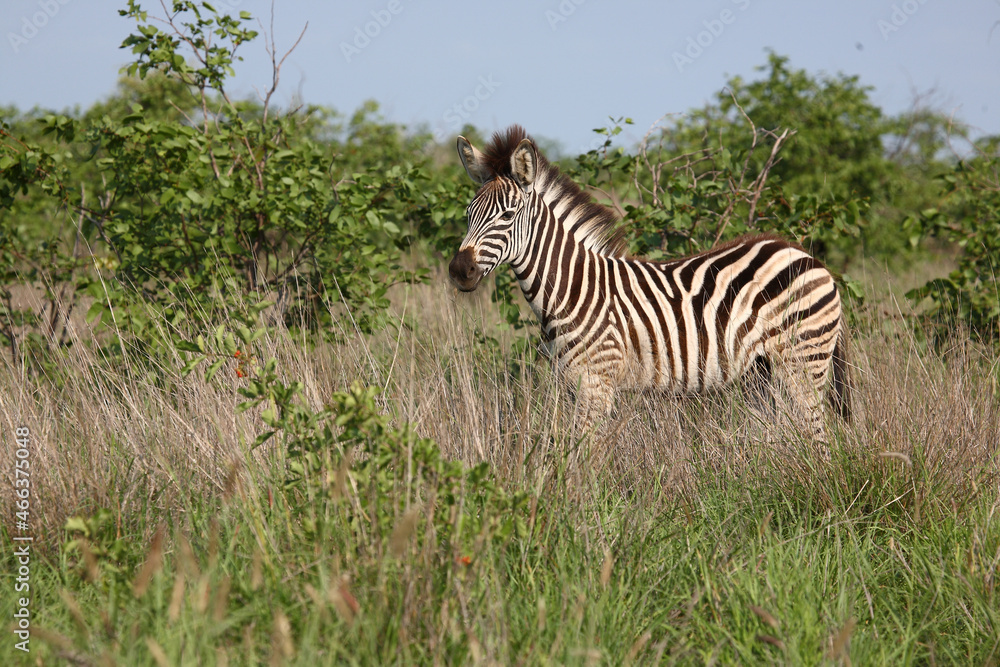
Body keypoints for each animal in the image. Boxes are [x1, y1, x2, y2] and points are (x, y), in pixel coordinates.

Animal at [448, 125, 850, 440]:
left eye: (507, 215)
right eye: (468, 214)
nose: (459, 270)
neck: (571, 288)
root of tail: (809, 258)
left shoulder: (596, 381)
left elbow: (584, 454)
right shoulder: (574, 383)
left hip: (803, 361)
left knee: (816, 433)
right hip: (763, 372)